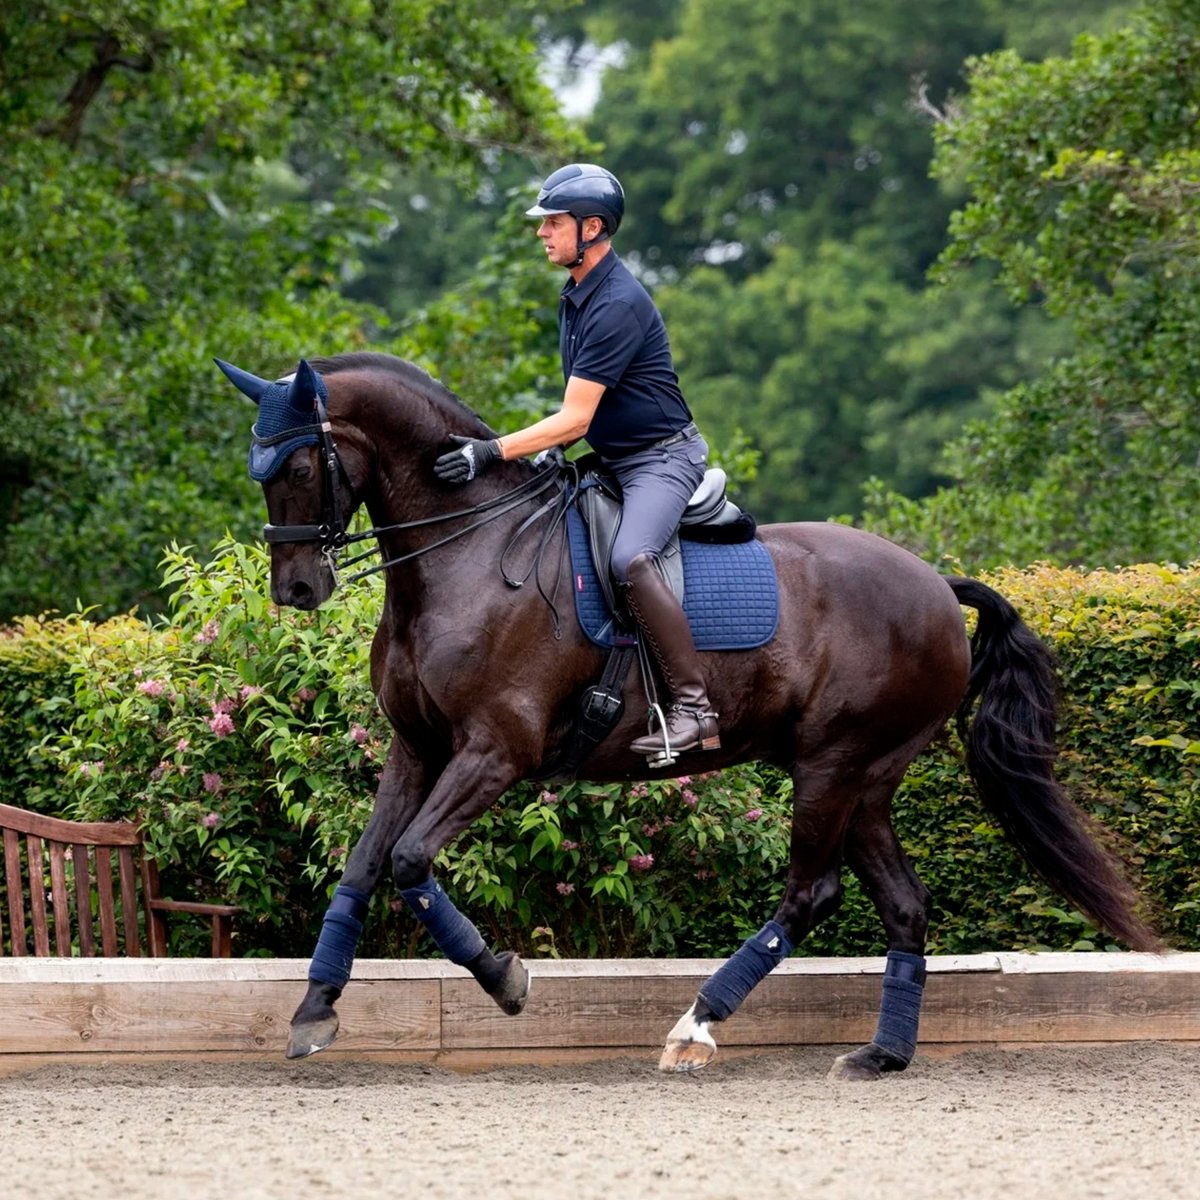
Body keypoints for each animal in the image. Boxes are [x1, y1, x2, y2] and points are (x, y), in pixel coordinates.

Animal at [218, 348, 1161, 1080]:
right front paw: (313, 1010)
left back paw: (696, 1025)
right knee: (902, 903)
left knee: (809, 893)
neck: (468, 556)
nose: (296, 589)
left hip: (834, 765)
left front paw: (505, 978)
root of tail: (936, 583)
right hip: (865, 779)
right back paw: (882, 1054)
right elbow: (364, 865)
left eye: (296, 468)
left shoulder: (496, 751)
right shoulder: (416, 748)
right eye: (260, 471)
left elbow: (411, 862)